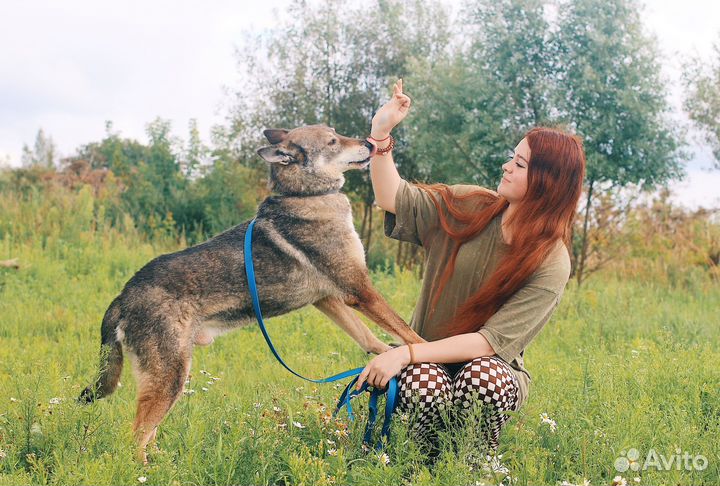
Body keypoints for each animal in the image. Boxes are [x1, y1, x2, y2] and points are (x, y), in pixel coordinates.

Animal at [79, 123, 428, 462]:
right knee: (136, 437)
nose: (371, 143)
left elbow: (367, 336)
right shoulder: (359, 290)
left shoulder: (328, 298)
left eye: (337, 133)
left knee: (147, 434)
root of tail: (123, 296)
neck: (304, 196)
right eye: (332, 141)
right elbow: (409, 332)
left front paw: (385, 354)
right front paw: (428, 351)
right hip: (170, 377)